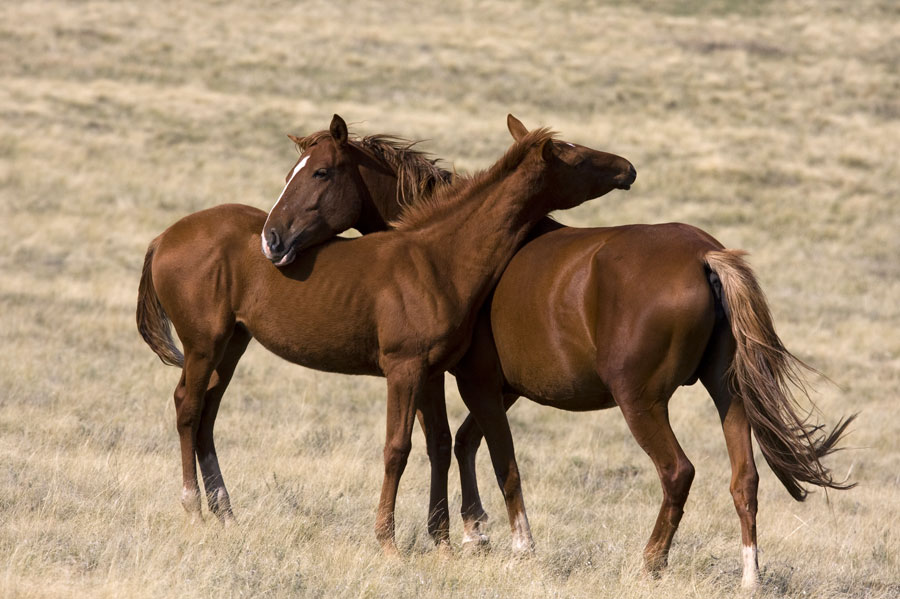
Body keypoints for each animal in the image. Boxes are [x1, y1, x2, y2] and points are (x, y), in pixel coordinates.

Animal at [137, 115, 636, 556]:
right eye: (575, 155)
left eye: (319, 172)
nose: (626, 168)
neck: (436, 257)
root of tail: (164, 237)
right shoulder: (405, 368)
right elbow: (398, 448)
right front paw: (389, 541)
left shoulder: (431, 372)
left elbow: (439, 443)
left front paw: (443, 540)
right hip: (204, 344)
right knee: (188, 407)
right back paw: (194, 509)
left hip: (233, 344)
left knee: (208, 411)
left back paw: (225, 513)